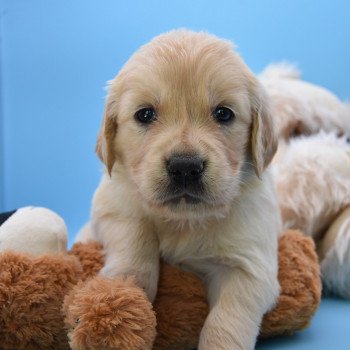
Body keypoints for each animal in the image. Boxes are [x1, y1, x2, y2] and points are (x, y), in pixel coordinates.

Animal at [84, 30, 278, 350]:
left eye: (224, 114)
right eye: (145, 114)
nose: (185, 167)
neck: (185, 220)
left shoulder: (250, 264)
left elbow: (227, 320)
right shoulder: (111, 205)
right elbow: (135, 231)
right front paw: (127, 292)